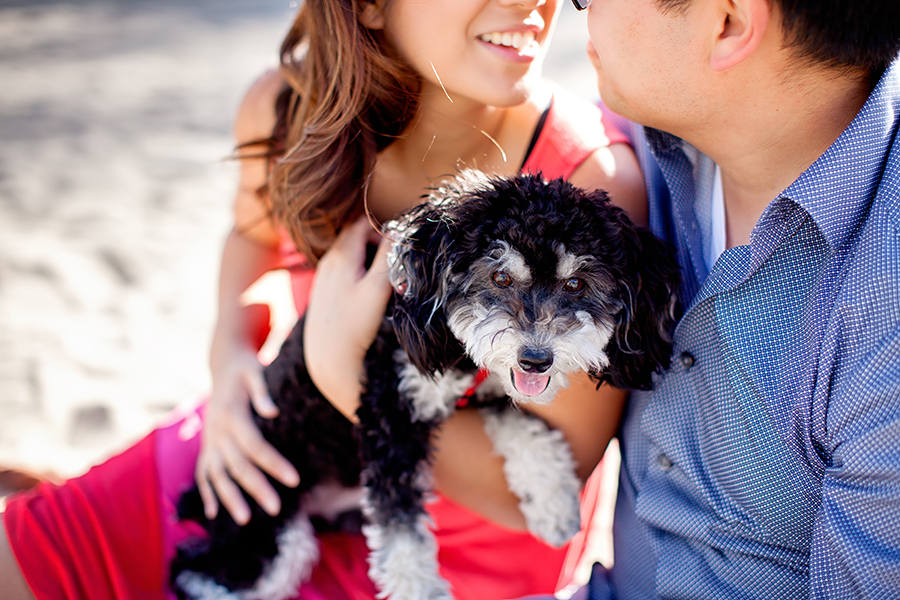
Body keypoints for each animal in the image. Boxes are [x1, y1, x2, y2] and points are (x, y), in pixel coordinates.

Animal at [169, 171, 680, 600]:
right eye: (499, 276)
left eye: (576, 284)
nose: (535, 358)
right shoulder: (389, 413)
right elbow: (401, 532)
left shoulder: (490, 396)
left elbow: (529, 431)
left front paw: (552, 501)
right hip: (269, 527)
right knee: (194, 572)